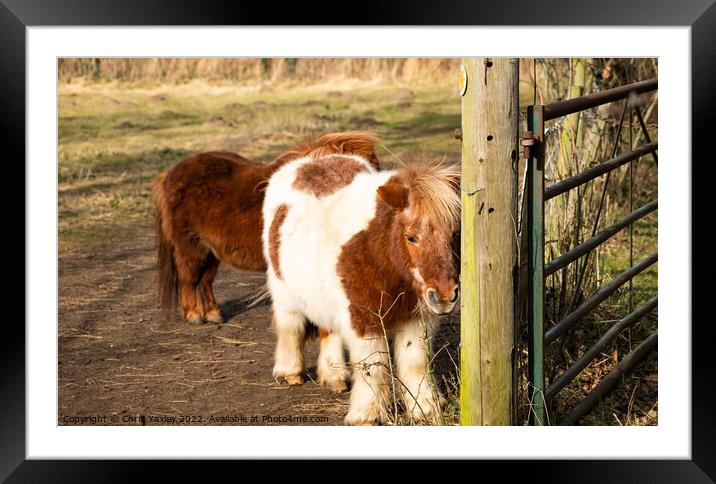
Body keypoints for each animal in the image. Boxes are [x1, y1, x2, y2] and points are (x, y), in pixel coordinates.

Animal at [152, 131, 380, 326]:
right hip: (190, 245)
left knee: (205, 281)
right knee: (188, 278)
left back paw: (212, 314)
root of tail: (170, 173)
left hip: (211, 250)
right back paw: (193, 315)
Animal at [262, 153, 458, 426]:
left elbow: (415, 362)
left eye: (453, 234)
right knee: (290, 327)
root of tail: (309, 159)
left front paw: (426, 409)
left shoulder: (416, 318)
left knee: (328, 331)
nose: (445, 297)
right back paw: (290, 371)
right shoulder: (363, 318)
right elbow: (373, 366)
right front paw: (367, 414)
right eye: (411, 237)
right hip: (284, 293)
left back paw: (334, 376)